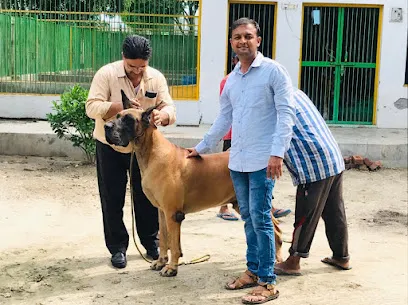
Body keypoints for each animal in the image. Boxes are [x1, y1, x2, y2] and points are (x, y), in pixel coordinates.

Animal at [103, 91, 282, 276]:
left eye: (129, 119)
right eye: (117, 116)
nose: (106, 126)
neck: (151, 152)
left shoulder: (173, 213)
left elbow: (174, 244)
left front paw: (171, 267)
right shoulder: (162, 211)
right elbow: (164, 239)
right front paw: (160, 261)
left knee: (275, 230)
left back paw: (276, 261)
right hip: (240, 202)